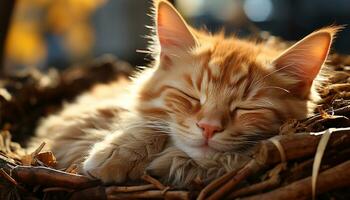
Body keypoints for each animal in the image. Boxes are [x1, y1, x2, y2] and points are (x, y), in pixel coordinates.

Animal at [32, 0, 336, 186]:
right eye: (191, 97)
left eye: (246, 108)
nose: (209, 127)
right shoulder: (65, 133)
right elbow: (149, 124)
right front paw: (118, 154)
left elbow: (234, 157)